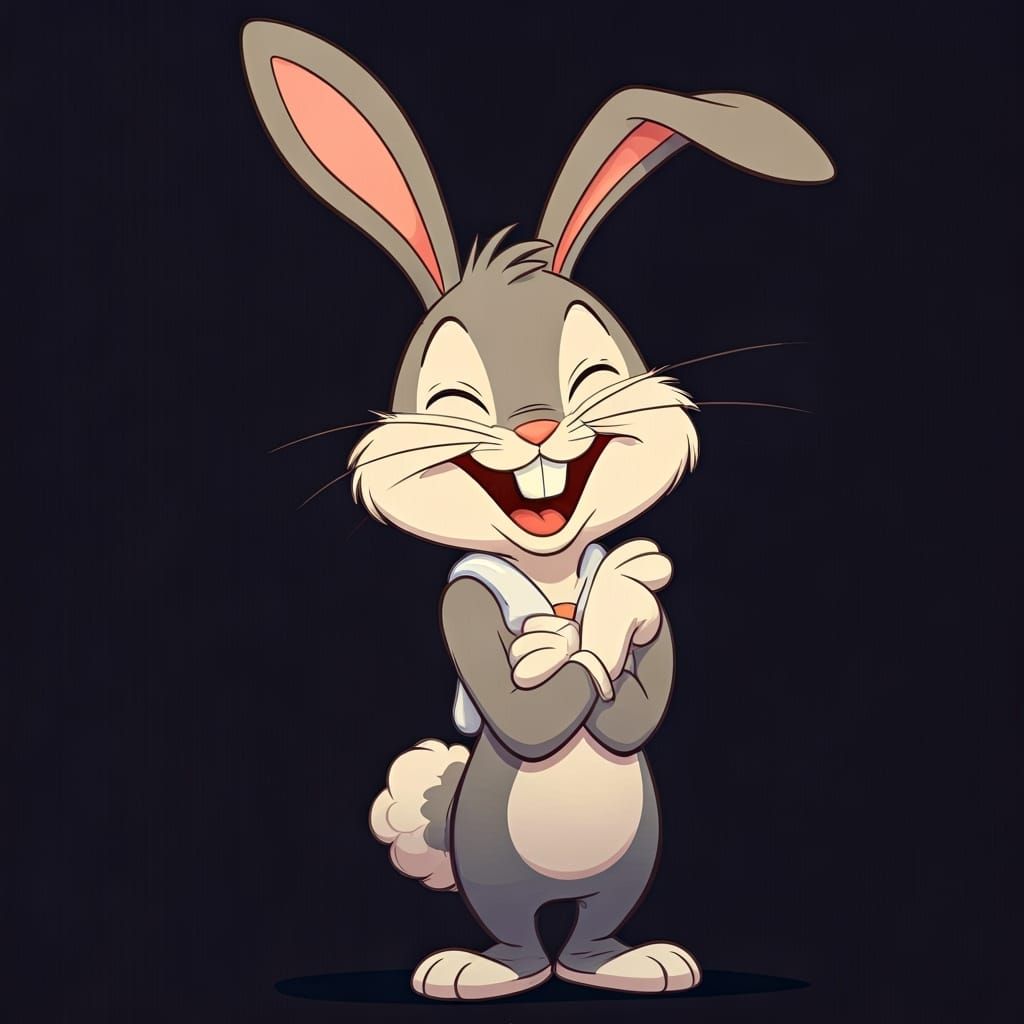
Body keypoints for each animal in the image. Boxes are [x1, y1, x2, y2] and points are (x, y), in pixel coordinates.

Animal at [241, 19, 834, 1002]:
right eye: (451, 396)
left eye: (592, 371)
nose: (537, 425)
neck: (552, 570)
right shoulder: (460, 606)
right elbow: (528, 710)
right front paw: (565, 638)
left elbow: (633, 709)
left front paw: (615, 599)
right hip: (492, 864)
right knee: (519, 933)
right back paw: (482, 971)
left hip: (630, 864)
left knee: (591, 928)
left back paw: (628, 963)